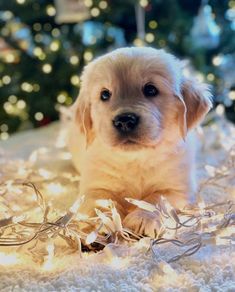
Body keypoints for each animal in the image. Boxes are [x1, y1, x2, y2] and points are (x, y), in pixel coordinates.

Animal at [67, 46, 212, 237]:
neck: (136, 160)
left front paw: (143, 217)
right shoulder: (93, 186)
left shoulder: (177, 188)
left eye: (150, 90)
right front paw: (102, 223)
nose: (124, 120)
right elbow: (101, 201)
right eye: (105, 94)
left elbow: (156, 199)